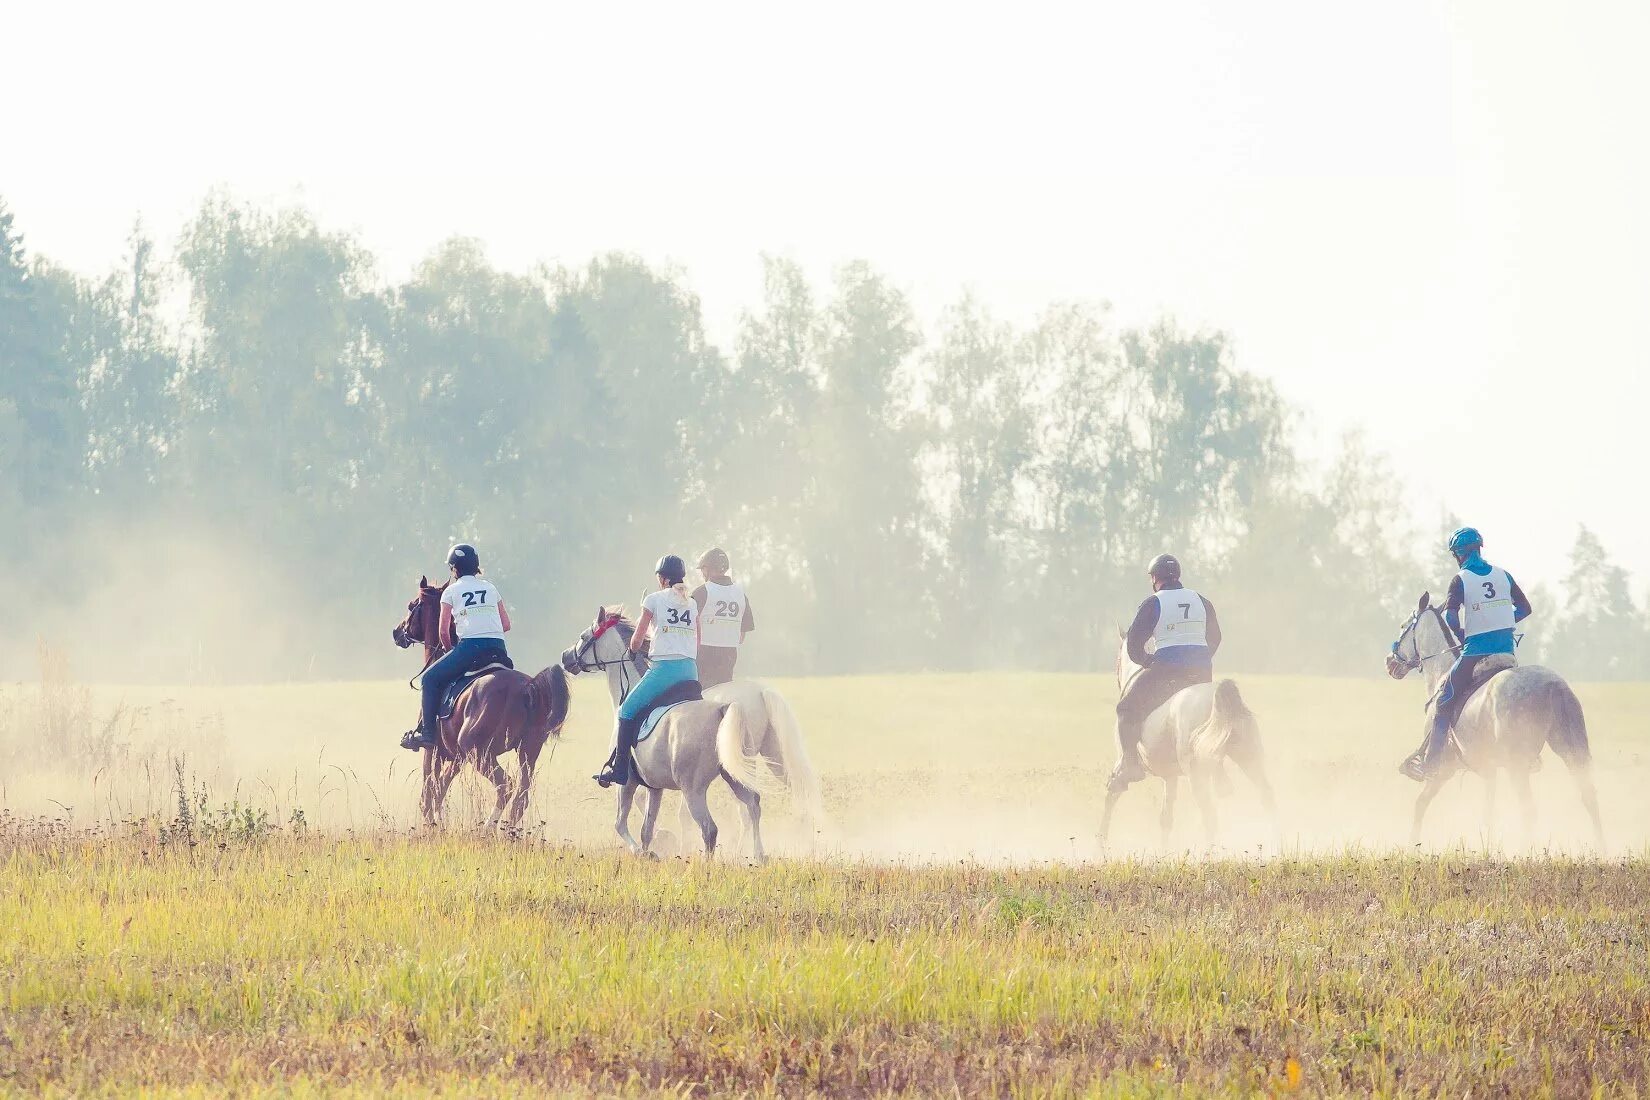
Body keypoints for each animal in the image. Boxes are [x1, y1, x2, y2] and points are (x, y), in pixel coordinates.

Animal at [389, 580, 570, 831]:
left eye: (412, 605)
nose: (397, 632)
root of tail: (527, 686)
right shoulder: (457, 757)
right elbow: (440, 789)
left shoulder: (432, 751)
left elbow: (428, 793)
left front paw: (430, 825)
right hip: (527, 750)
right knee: (521, 796)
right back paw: (508, 831)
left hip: (479, 752)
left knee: (506, 786)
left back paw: (488, 828)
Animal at [561, 610, 825, 857]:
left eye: (584, 637)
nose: (565, 657)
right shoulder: (654, 785)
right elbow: (646, 827)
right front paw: (652, 850)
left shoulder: (628, 781)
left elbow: (622, 823)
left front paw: (648, 849)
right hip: (759, 764)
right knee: (770, 802)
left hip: (703, 784)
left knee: (718, 824)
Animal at [1102, 633, 1280, 850]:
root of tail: (1217, 697)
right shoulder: (1170, 777)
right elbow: (1165, 818)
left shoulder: (1121, 766)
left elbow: (1111, 798)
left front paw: (1101, 844)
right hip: (1249, 758)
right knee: (1267, 797)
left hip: (1198, 775)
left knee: (1209, 816)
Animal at [1386, 590, 1603, 850]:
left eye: (1403, 626)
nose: (1390, 662)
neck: (1441, 672)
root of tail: (1553, 685)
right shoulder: (1489, 770)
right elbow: (1488, 812)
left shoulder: (1444, 769)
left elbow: (1420, 804)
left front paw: (1413, 845)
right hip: (1570, 750)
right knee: (1589, 797)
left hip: (1517, 765)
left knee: (1529, 809)